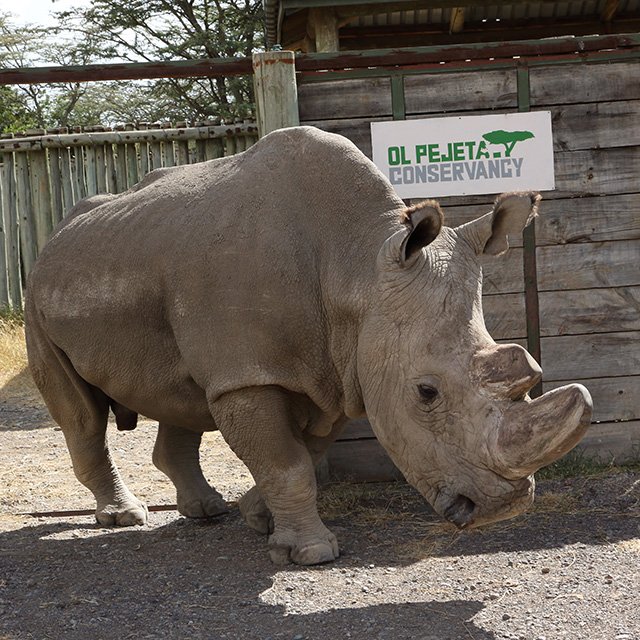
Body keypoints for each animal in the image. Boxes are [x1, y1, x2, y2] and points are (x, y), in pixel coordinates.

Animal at [25, 126, 592, 565]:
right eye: (426, 393)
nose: (502, 509)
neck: (356, 266)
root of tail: (56, 235)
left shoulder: (342, 369)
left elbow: (304, 452)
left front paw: (259, 519)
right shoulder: (249, 375)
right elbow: (289, 462)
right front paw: (311, 554)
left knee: (180, 394)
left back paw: (208, 511)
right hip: (37, 293)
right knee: (81, 414)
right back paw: (123, 516)